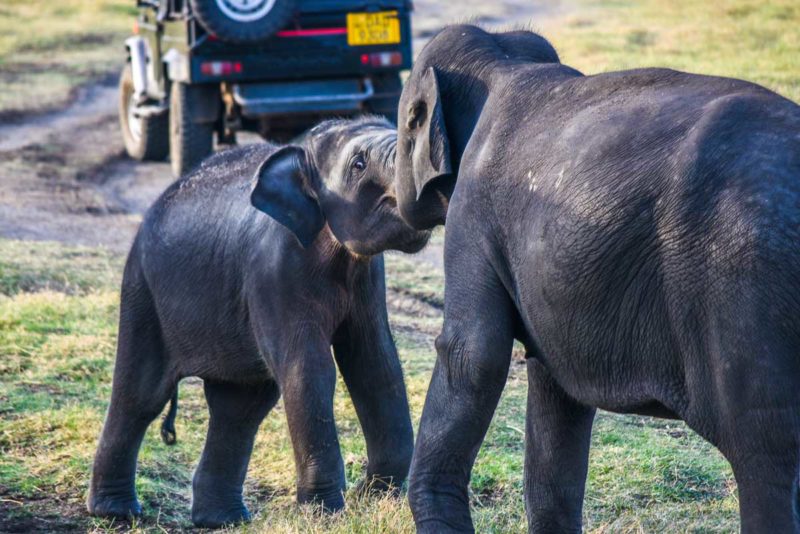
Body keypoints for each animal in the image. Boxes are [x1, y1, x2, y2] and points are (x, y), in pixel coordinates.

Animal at [86, 115, 432, 528]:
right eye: (359, 164)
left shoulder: (366, 280)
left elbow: (375, 364)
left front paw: (377, 498)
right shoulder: (273, 271)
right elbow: (309, 370)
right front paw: (325, 515)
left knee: (239, 405)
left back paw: (221, 521)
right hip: (142, 290)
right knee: (141, 395)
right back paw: (116, 513)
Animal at [396, 24, 800, 534]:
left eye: (405, 122)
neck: (503, 60)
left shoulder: (473, 212)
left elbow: (470, 356)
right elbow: (555, 388)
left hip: (746, 286)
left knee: (763, 454)